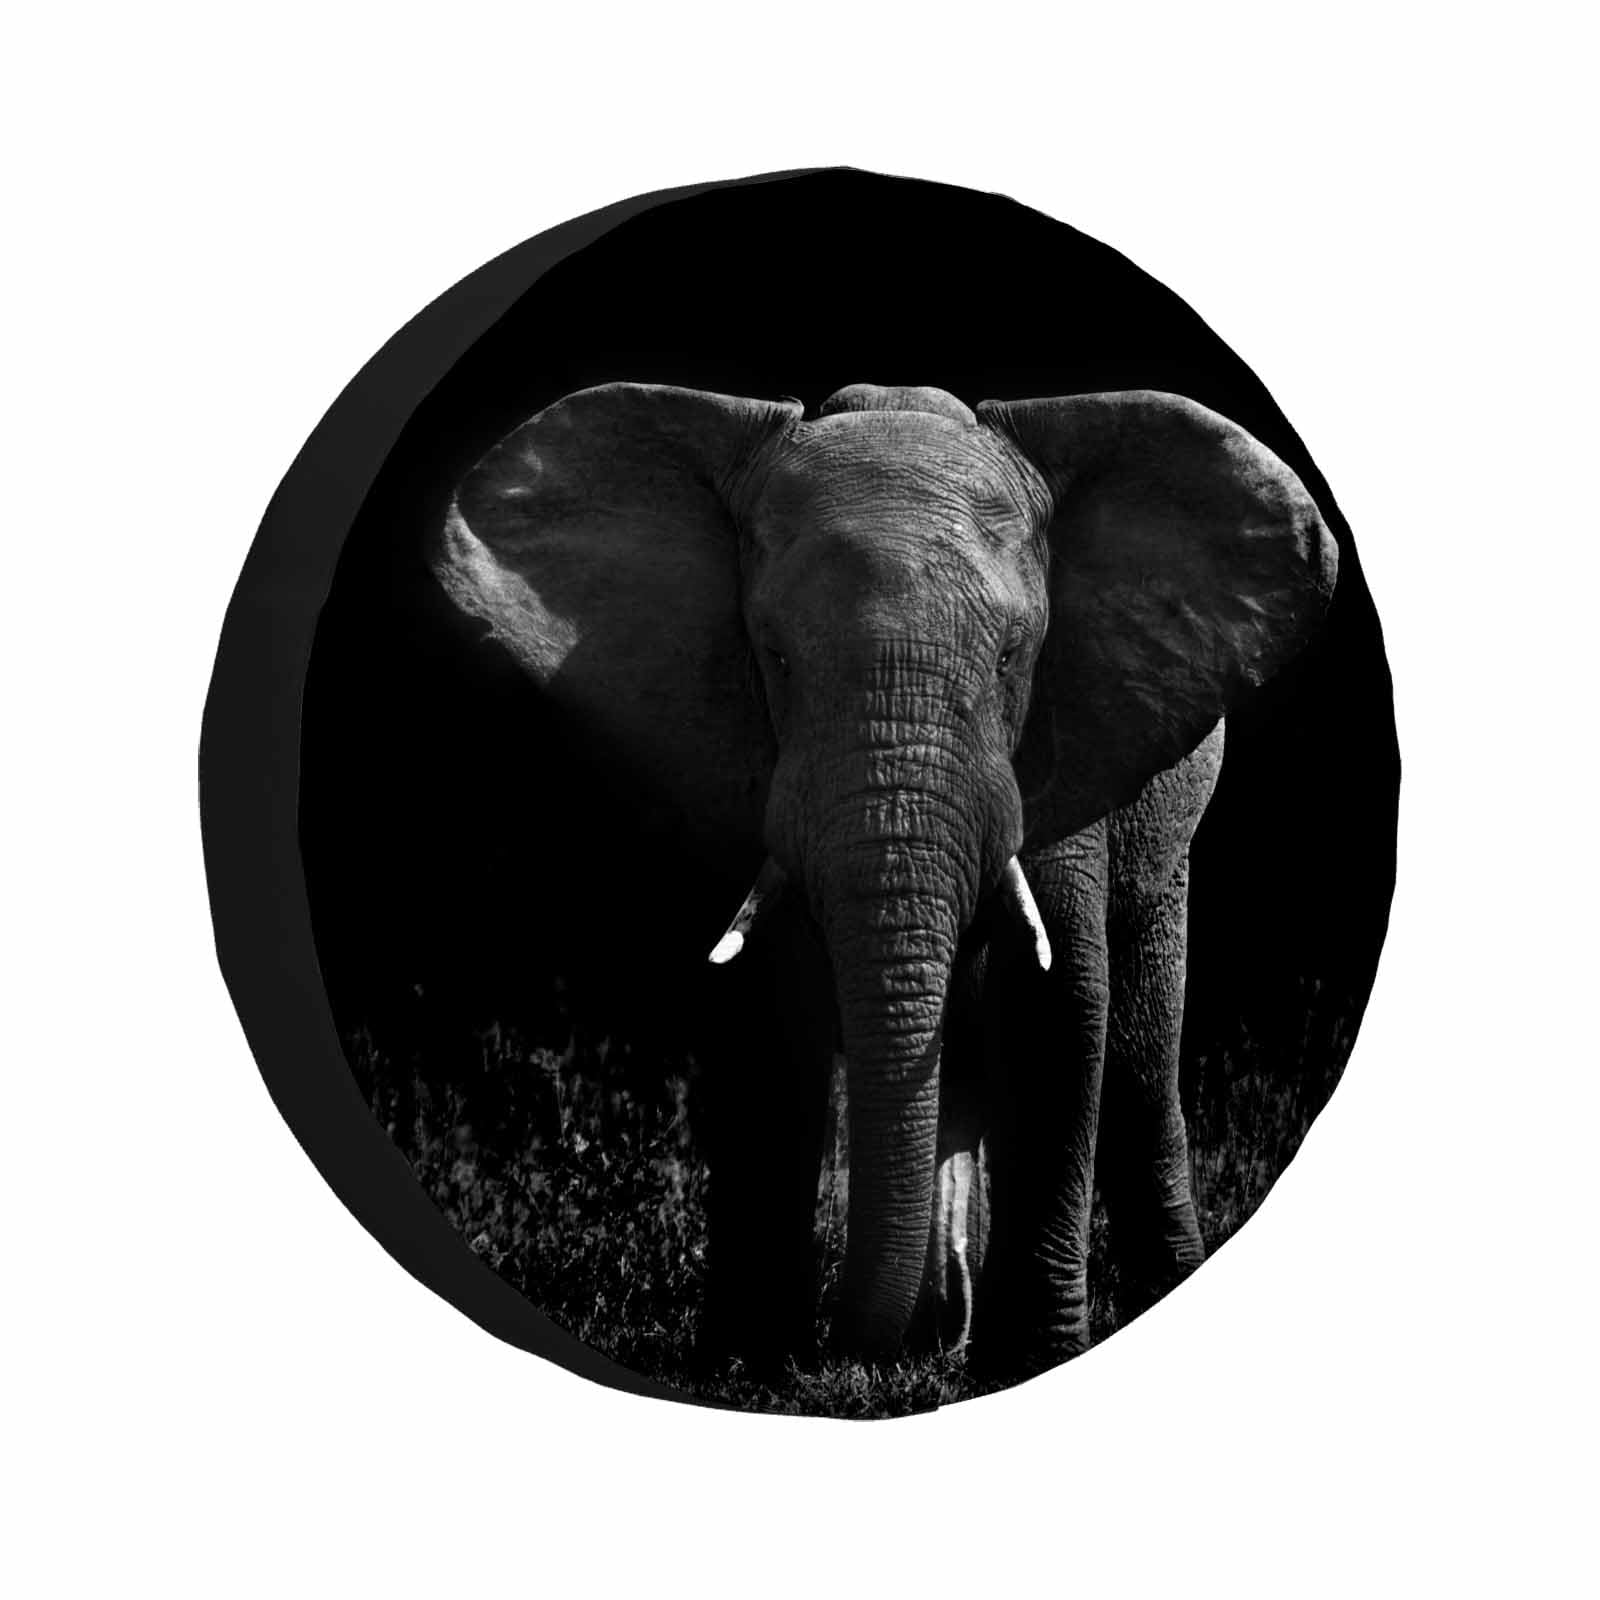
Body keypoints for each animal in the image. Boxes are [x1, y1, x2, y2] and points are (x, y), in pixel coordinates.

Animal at [427, 378, 1338, 1379]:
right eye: (775, 655)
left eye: (1013, 656)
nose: (842, 1352)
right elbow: (764, 1022)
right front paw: (749, 1367)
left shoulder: (1066, 751)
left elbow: (1058, 1011)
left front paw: (1028, 1362)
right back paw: (934, 1337)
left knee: (1137, 1053)